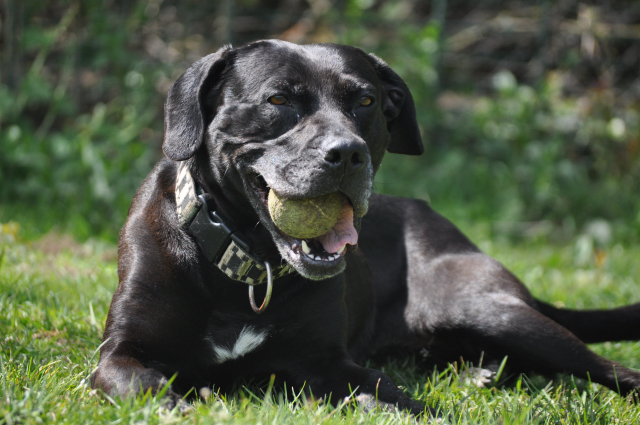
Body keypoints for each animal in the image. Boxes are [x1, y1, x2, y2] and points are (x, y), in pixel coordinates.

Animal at [91, 39, 640, 414]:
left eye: (367, 102)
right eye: (278, 101)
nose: (347, 153)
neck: (247, 268)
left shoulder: (327, 362)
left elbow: (391, 392)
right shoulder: (120, 353)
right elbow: (146, 386)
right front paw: (183, 407)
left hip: (490, 311)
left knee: (611, 369)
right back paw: (481, 375)